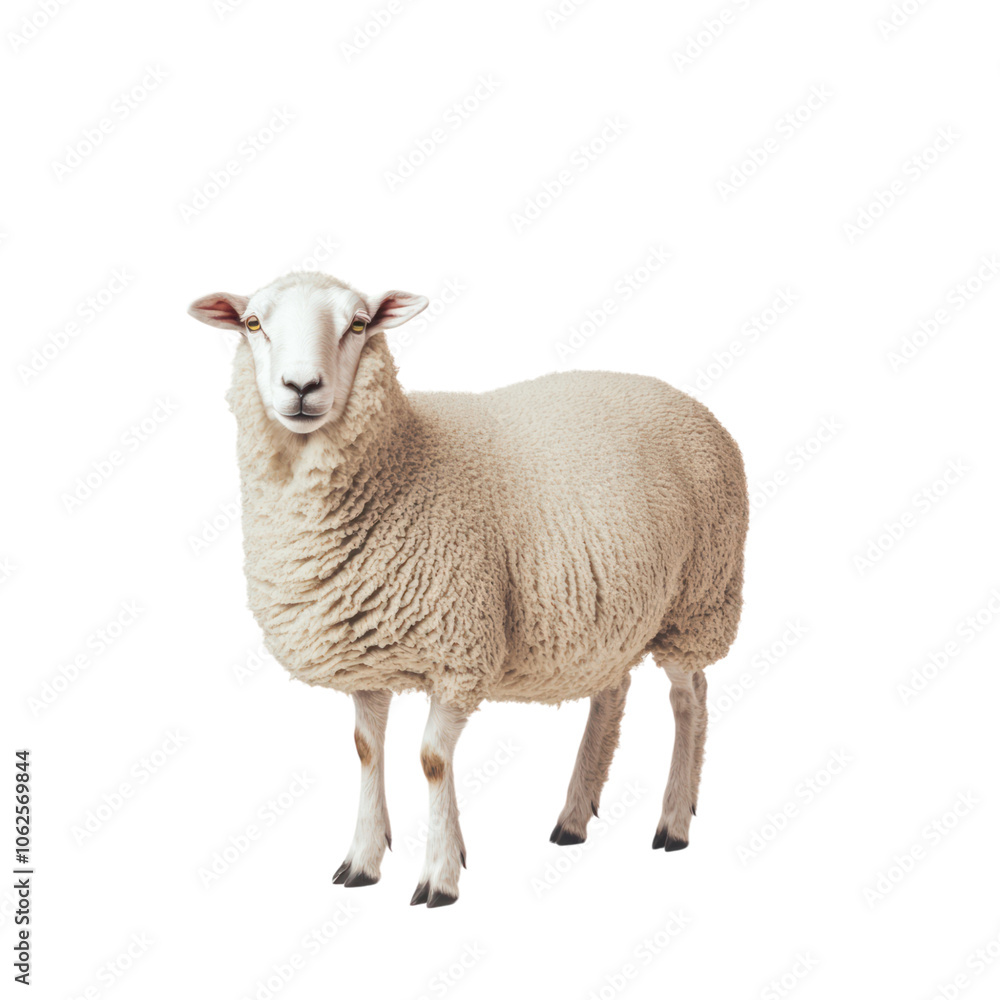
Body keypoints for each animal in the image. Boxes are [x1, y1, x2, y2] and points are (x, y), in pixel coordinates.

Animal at [188, 271, 748, 908]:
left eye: (358, 323)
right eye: (253, 323)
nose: (301, 387)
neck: (402, 462)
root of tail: (687, 400)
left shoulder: (460, 649)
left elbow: (433, 759)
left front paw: (439, 874)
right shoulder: (366, 653)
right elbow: (366, 749)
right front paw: (363, 860)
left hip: (699, 598)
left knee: (689, 697)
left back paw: (674, 821)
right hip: (612, 613)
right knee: (612, 692)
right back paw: (574, 816)